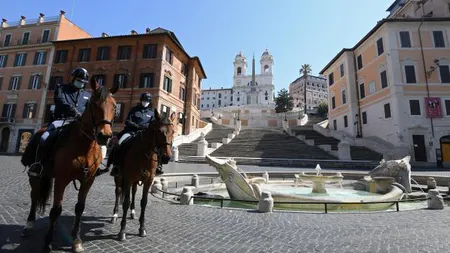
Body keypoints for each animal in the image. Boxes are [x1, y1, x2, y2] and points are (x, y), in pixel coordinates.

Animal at [21, 78, 118, 252]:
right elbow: (55, 210)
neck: (83, 146)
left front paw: (76, 240)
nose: (104, 136)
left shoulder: (88, 180)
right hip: (35, 175)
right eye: (94, 104)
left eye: (114, 106)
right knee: (34, 196)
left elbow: (79, 208)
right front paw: (47, 243)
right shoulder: (61, 179)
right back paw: (29, 224)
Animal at [111, 110, 176, 241]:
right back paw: (115, 214)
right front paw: (122, 231)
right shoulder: (128, 178)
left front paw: (142, 228)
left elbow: (144, 202)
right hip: (119, 176)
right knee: (119, 191)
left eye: (173, 132)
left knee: (134, 191)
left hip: (136, 180)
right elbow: (125, 202)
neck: (145, 153)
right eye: (159, 131)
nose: (166, 157)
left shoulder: (148, 180)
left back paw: (132, 212)